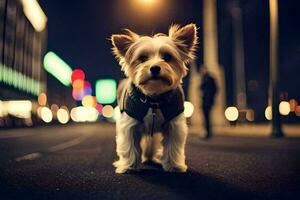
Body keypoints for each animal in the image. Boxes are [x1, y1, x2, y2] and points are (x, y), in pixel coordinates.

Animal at [111, 23, 198, 173]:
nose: (155, 68)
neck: (154, 99)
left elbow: (172, 147)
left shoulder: (174, 125)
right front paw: (129, 166)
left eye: (167, 57)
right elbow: (130, 146)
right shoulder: (129, 125)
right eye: (142, 58)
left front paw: (173, 166)